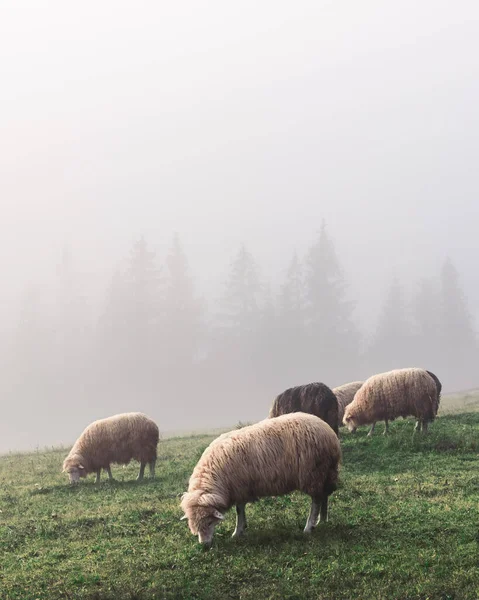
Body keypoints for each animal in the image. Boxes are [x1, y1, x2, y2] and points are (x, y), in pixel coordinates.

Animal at [180, 412, 342, 548]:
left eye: (209, 522)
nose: (204, 545)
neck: (215, 477)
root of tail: (329, 432)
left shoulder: (240, 487)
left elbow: (239, 510)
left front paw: (237, 531)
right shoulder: (240, 489)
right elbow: (241, 509)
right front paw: (242, 528)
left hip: (313, 473)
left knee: (316, 501)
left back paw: (309, 527)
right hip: (324, 473)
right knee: (324, 496)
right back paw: (323, 519)